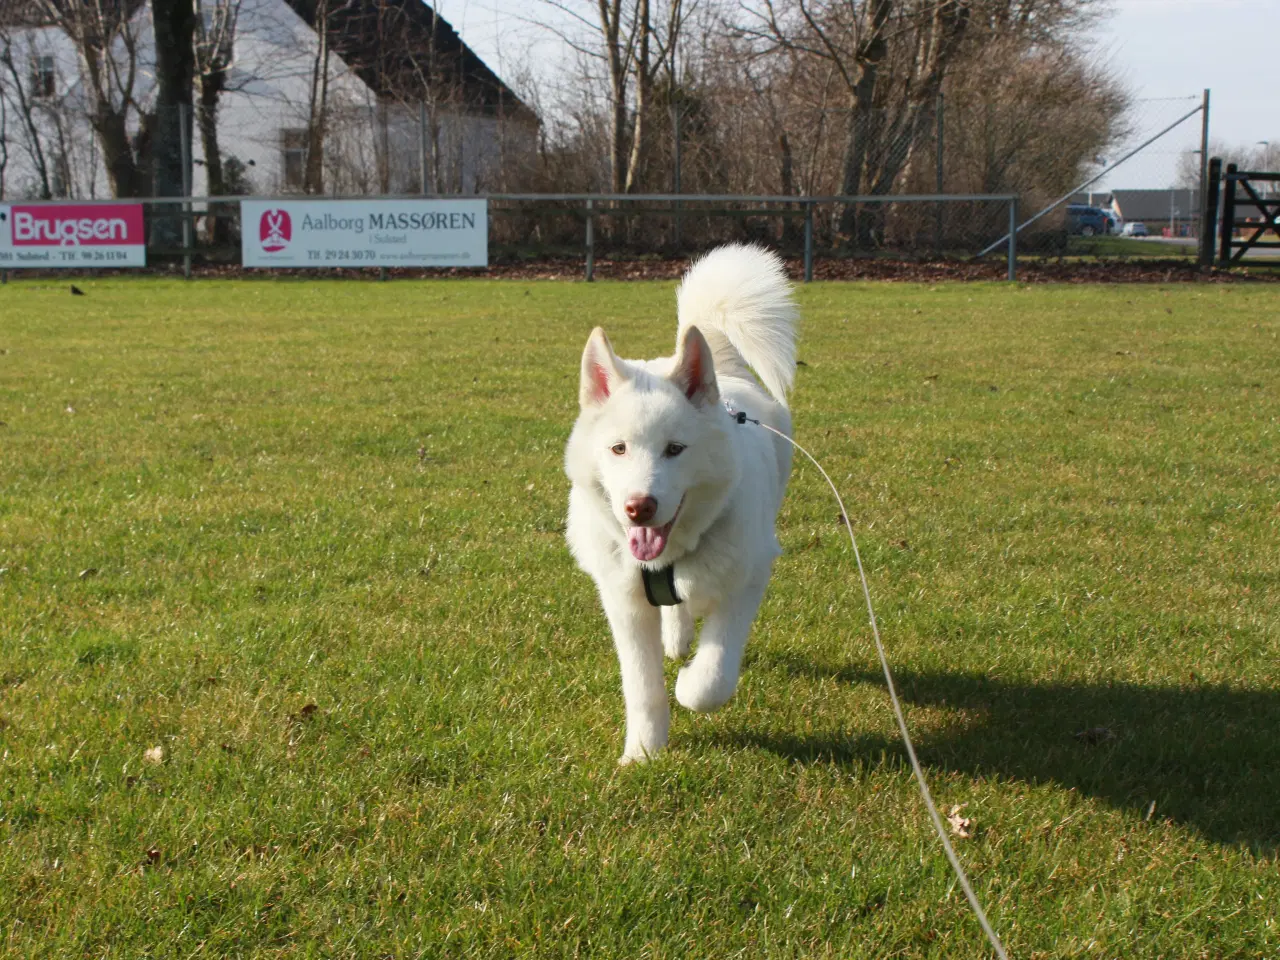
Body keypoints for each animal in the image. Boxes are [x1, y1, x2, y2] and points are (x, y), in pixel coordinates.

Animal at [563, 241, 793, 768]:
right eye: (619, 449)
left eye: (675, 449)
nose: (639, 508)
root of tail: (723, 373)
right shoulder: (625, 604)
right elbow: (642, 687)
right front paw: (644, 753)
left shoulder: (749, 578)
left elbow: (715, 674)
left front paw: (690, 687)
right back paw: (675, 637)